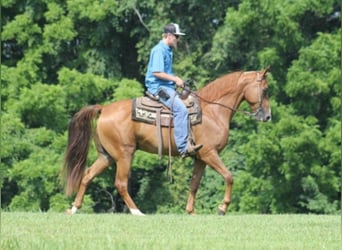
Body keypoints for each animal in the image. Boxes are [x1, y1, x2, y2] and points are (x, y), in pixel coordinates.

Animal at [62, 66, 272, 215]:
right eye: (265, 90)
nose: (268, 116)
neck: (212, 111)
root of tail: (104, 109)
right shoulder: (209, 153)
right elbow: (229, 176)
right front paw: (222, 208)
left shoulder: (200, 158)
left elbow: (194, 184)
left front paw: (191, 212)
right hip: (124, 154)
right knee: (120, 183)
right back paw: (137, 212)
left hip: (106, 156)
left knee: (87, 175)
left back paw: (74, 208)